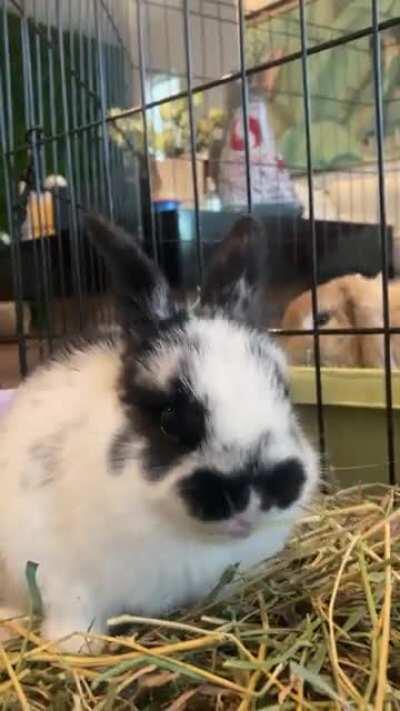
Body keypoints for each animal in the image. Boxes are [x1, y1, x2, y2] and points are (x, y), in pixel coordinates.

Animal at [0, 214, 319, 654]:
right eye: (170, 418)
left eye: (285, 393)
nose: (254, 495)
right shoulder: (63, 577)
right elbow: (74, 616)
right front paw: (78, 648)